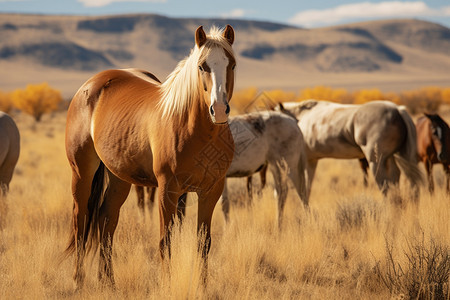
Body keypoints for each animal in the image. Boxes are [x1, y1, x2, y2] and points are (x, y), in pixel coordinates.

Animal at [66, 24, 239, 288]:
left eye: (232, 65)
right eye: (202, 66)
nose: (218, 110)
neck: (194, 129)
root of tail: (90, 85)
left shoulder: (211, 190)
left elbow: (204, 242)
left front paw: (202, 287)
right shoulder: (167, 189)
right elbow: (165, 241)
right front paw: (167, 285)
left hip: (119, 177)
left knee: (107, 218)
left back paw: (108, 282)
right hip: (81, 172)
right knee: (81, 219)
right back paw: (78, 280)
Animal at [276, 99, 424, 196]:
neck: (300, 117)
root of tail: (398, 110)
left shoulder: (307, 161)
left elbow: (304, 188)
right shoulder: (312, 160)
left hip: (376, 162)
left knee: (386, 188)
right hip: (392, 158)